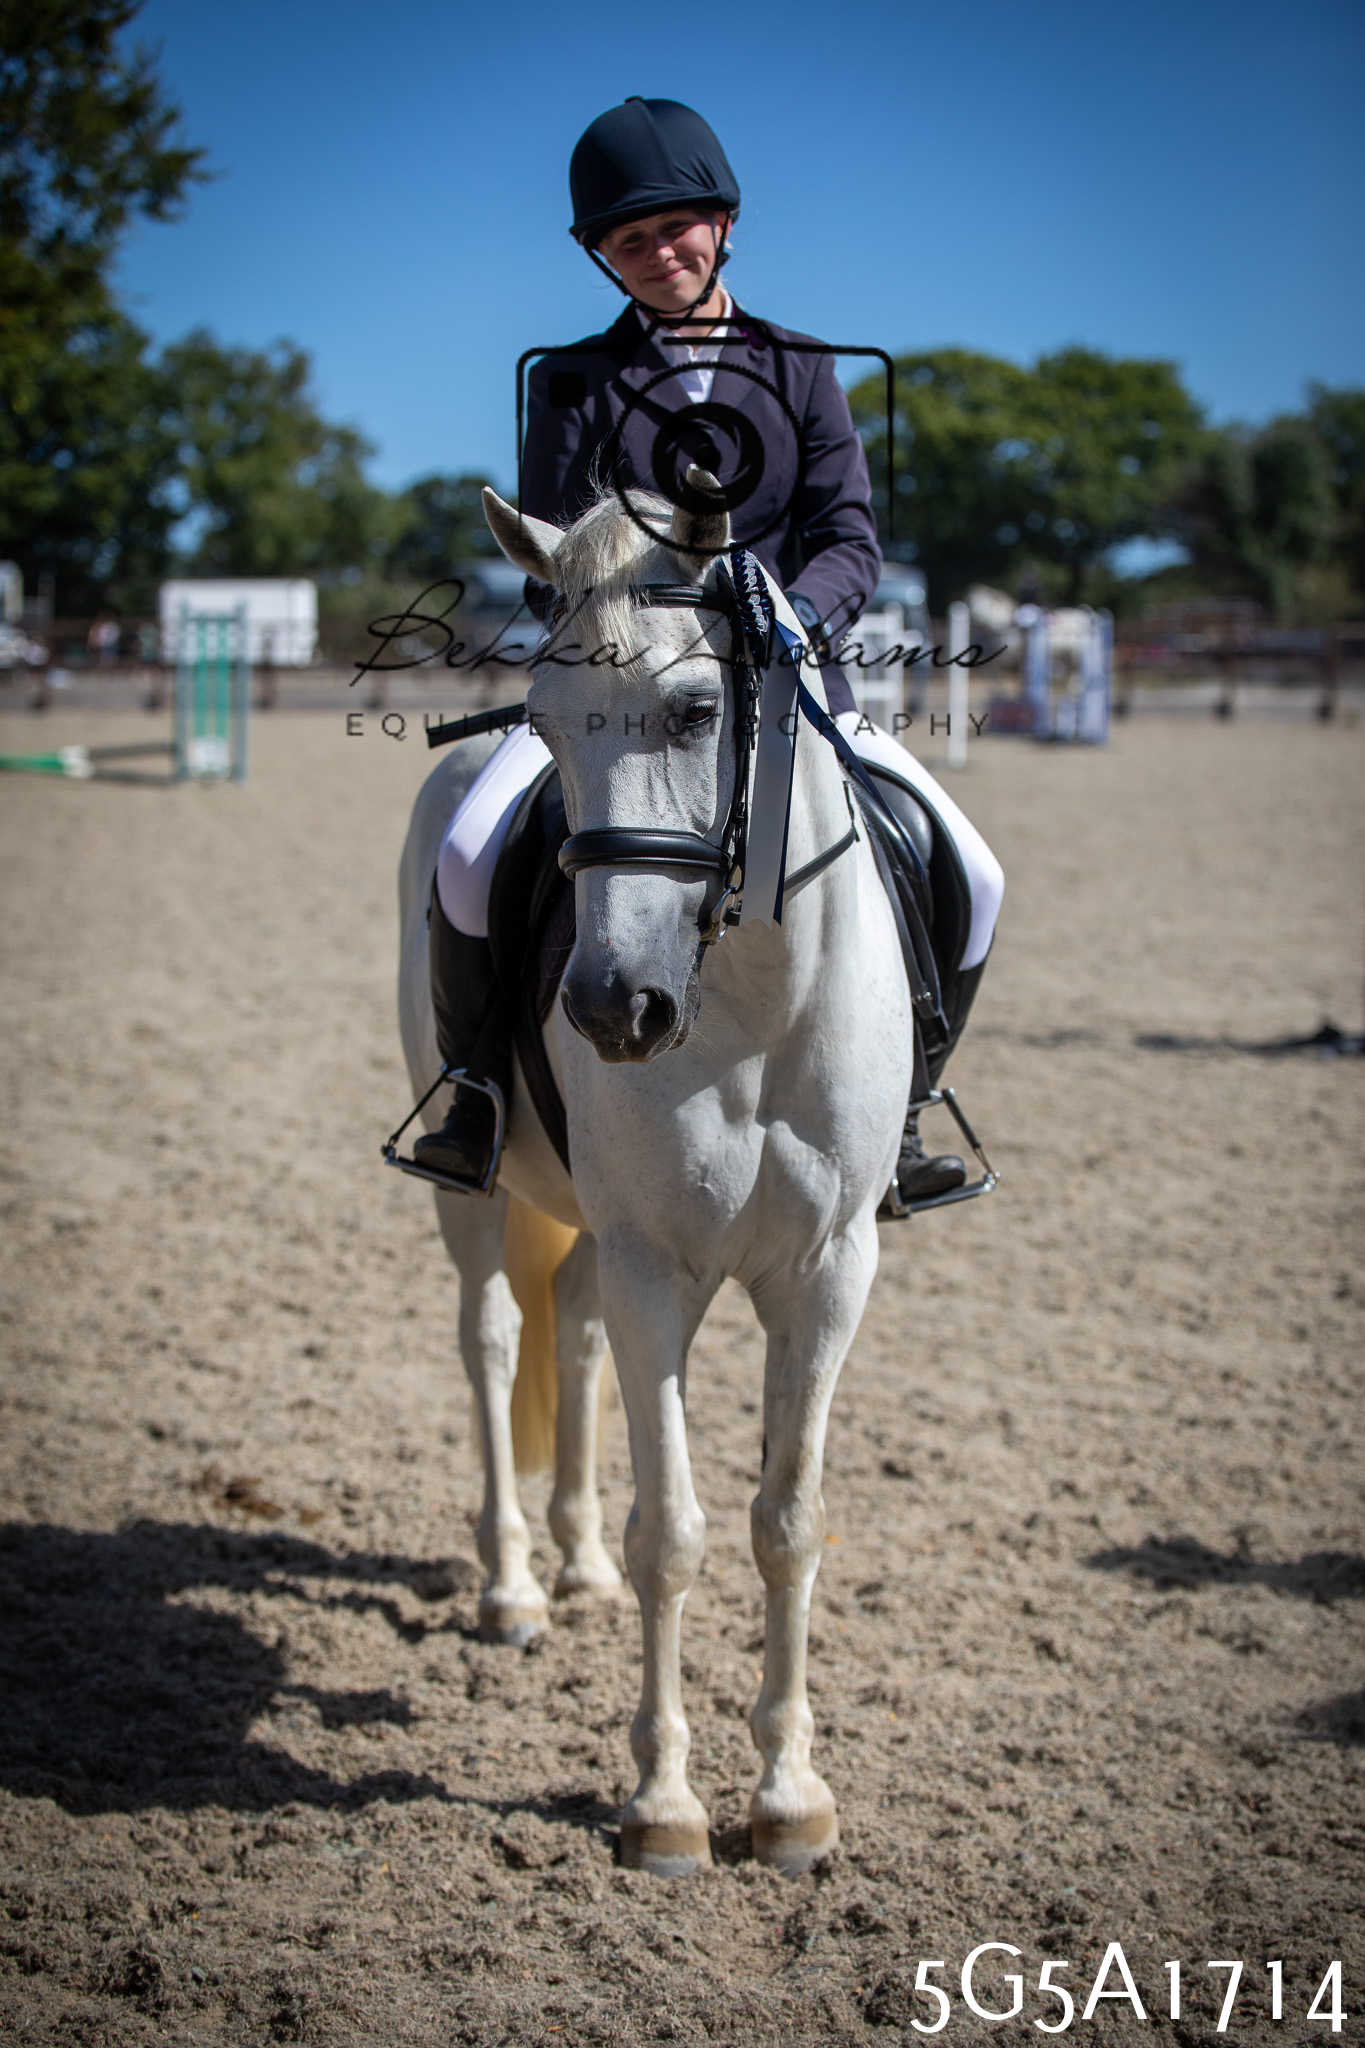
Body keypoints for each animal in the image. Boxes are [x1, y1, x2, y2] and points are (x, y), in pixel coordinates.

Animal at [396, 476, 913, 1877]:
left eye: (694, 710)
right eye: (542, 722)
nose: (612, 1008)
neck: (745, 995)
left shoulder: (829, 1272)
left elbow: (789, 1521)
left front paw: (790, 1798)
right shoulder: (653, 1267)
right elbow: (672, 1534)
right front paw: (665, 1806)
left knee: (565, 1334)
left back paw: (571, 1563)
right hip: (474, 1197)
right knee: (490, 1337)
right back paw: (517, 1584)